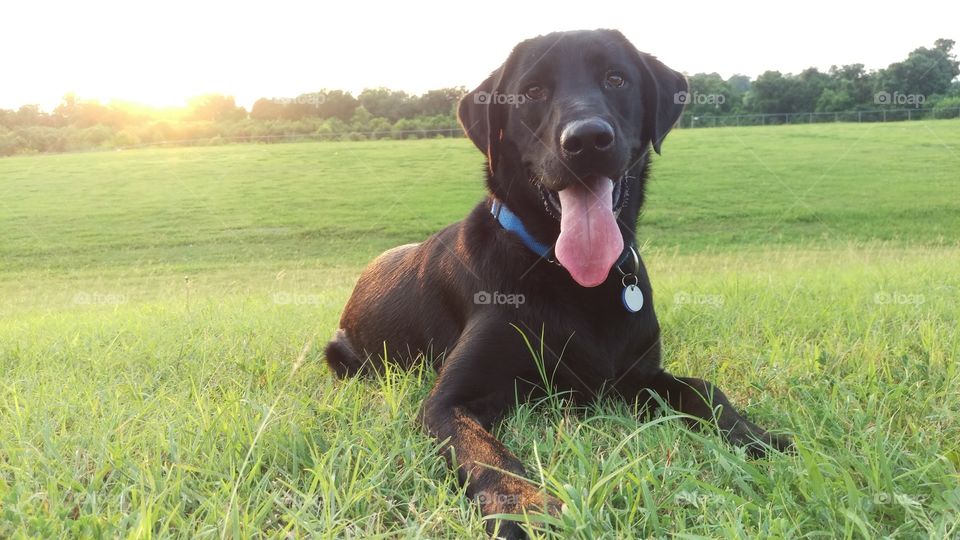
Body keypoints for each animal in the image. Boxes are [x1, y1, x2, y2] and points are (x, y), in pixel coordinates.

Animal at [326, 30, 792, 540]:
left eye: (616, 78)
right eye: (532, 92)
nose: (587, 139)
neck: (569, 276)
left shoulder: (638, 375)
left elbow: (705, 390)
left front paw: (760, 438)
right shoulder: (447, 404)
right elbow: (488, 454)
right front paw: (529, 509)